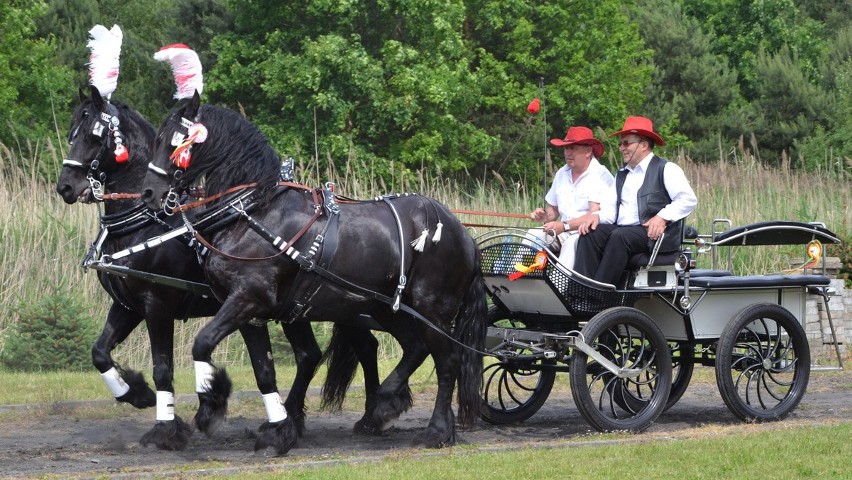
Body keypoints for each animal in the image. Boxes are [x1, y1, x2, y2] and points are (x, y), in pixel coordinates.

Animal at [55, 87, 382, 454]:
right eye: (72, 133)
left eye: (95, 136)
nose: (65, 186)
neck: (145, 222)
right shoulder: (127, 305)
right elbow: (99, 353)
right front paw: (136, 393)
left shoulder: (157, 304)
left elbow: (163, 368)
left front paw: (167, 428)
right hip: (300, 309)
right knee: (312, 355)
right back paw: (296, 419)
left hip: (339, 305)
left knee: (364, 347)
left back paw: (372, 416)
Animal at [140, 93, 486, 450]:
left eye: (175, 141)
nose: (149, 192)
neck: (255, 212)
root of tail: (463, 233)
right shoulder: (249, 309)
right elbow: (263, 369)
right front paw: (278, 428)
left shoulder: (247, 298)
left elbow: (202, 343)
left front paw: (211, 406)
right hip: (386, 307)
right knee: (415, 348)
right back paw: (382, 407)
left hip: (433, 310)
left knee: (448, 362)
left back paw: (436, 429)